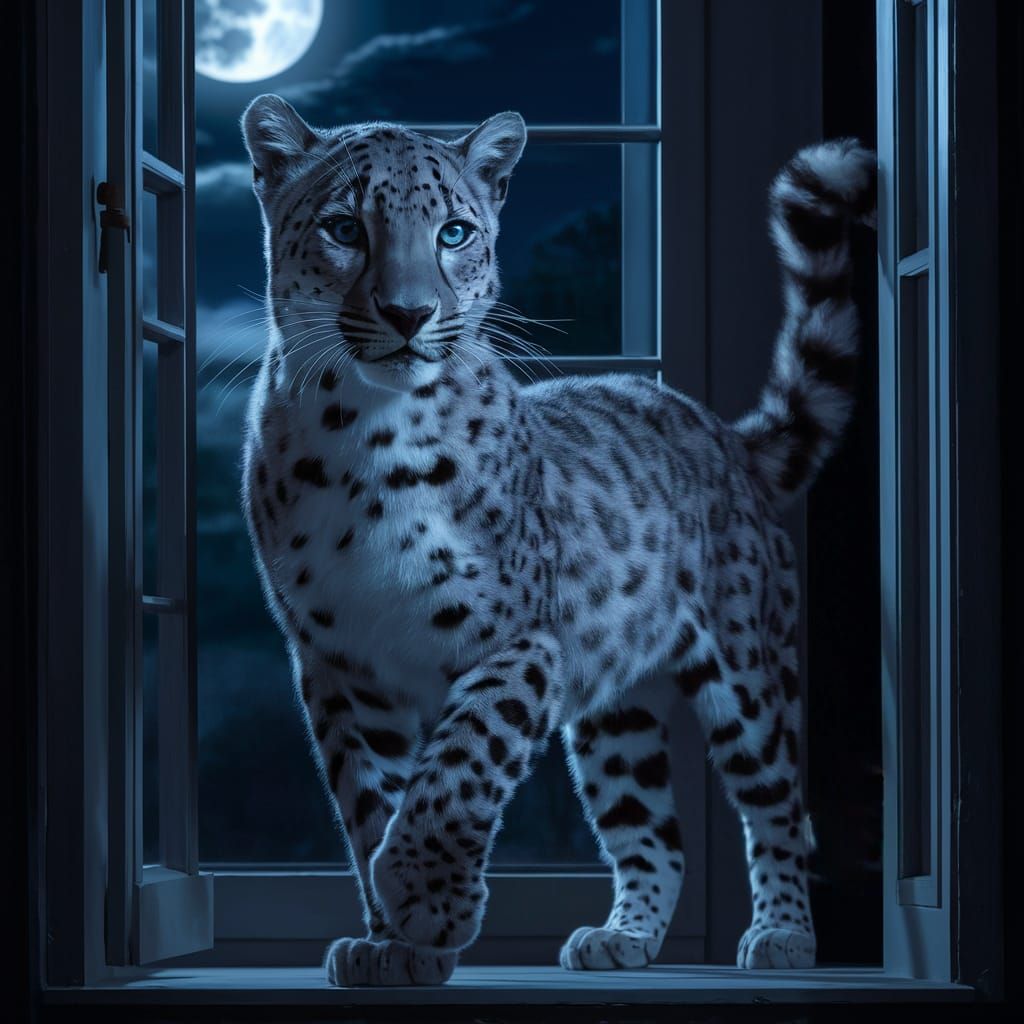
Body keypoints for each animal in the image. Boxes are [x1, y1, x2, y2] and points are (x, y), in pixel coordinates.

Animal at [237, 93, 876, 986]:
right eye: (343, 228)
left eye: (454, 233)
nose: (410, 313)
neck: (364, 431)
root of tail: (721, 431)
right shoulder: (338, 667)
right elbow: (370, 802)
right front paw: (395, 944)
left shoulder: (519, 641)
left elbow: (459, 767)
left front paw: (429, 901)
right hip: (617, 716)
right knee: (654, 834)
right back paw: (622, 938)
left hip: (749, 667)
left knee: (780, 805)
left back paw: (783, 937)